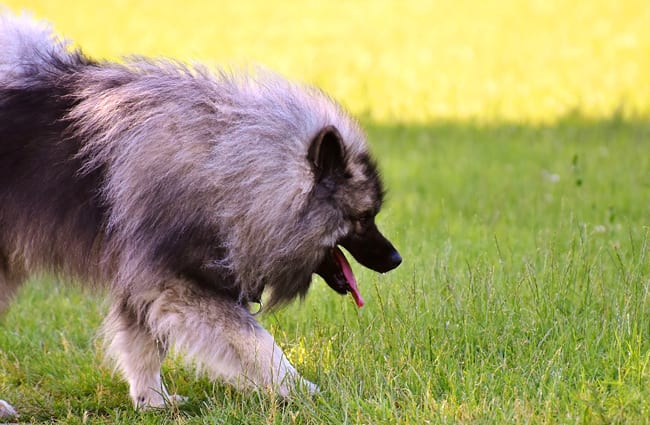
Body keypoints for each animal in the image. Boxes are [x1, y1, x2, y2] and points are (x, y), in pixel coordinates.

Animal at [0, 11, 400, 416]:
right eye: (364, 217)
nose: (396, 259)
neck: (228, 172)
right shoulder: (176, 281)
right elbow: (257, 341)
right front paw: (301, 389)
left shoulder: (146, 278)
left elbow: (144, 346)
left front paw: (152, 401)